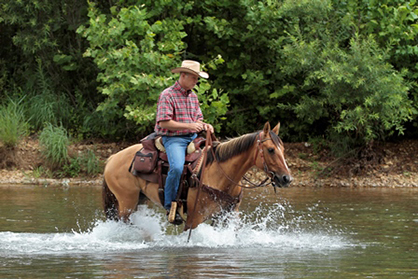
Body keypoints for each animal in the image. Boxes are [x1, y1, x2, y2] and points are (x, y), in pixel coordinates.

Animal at [102, 122, 290, 232]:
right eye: (270, 150)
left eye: (283, 149)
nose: (286, 178)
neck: (221, 174)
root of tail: (112, 158)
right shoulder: (194, 219)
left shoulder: (226, 216)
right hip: (126, 203)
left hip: (140, 200)